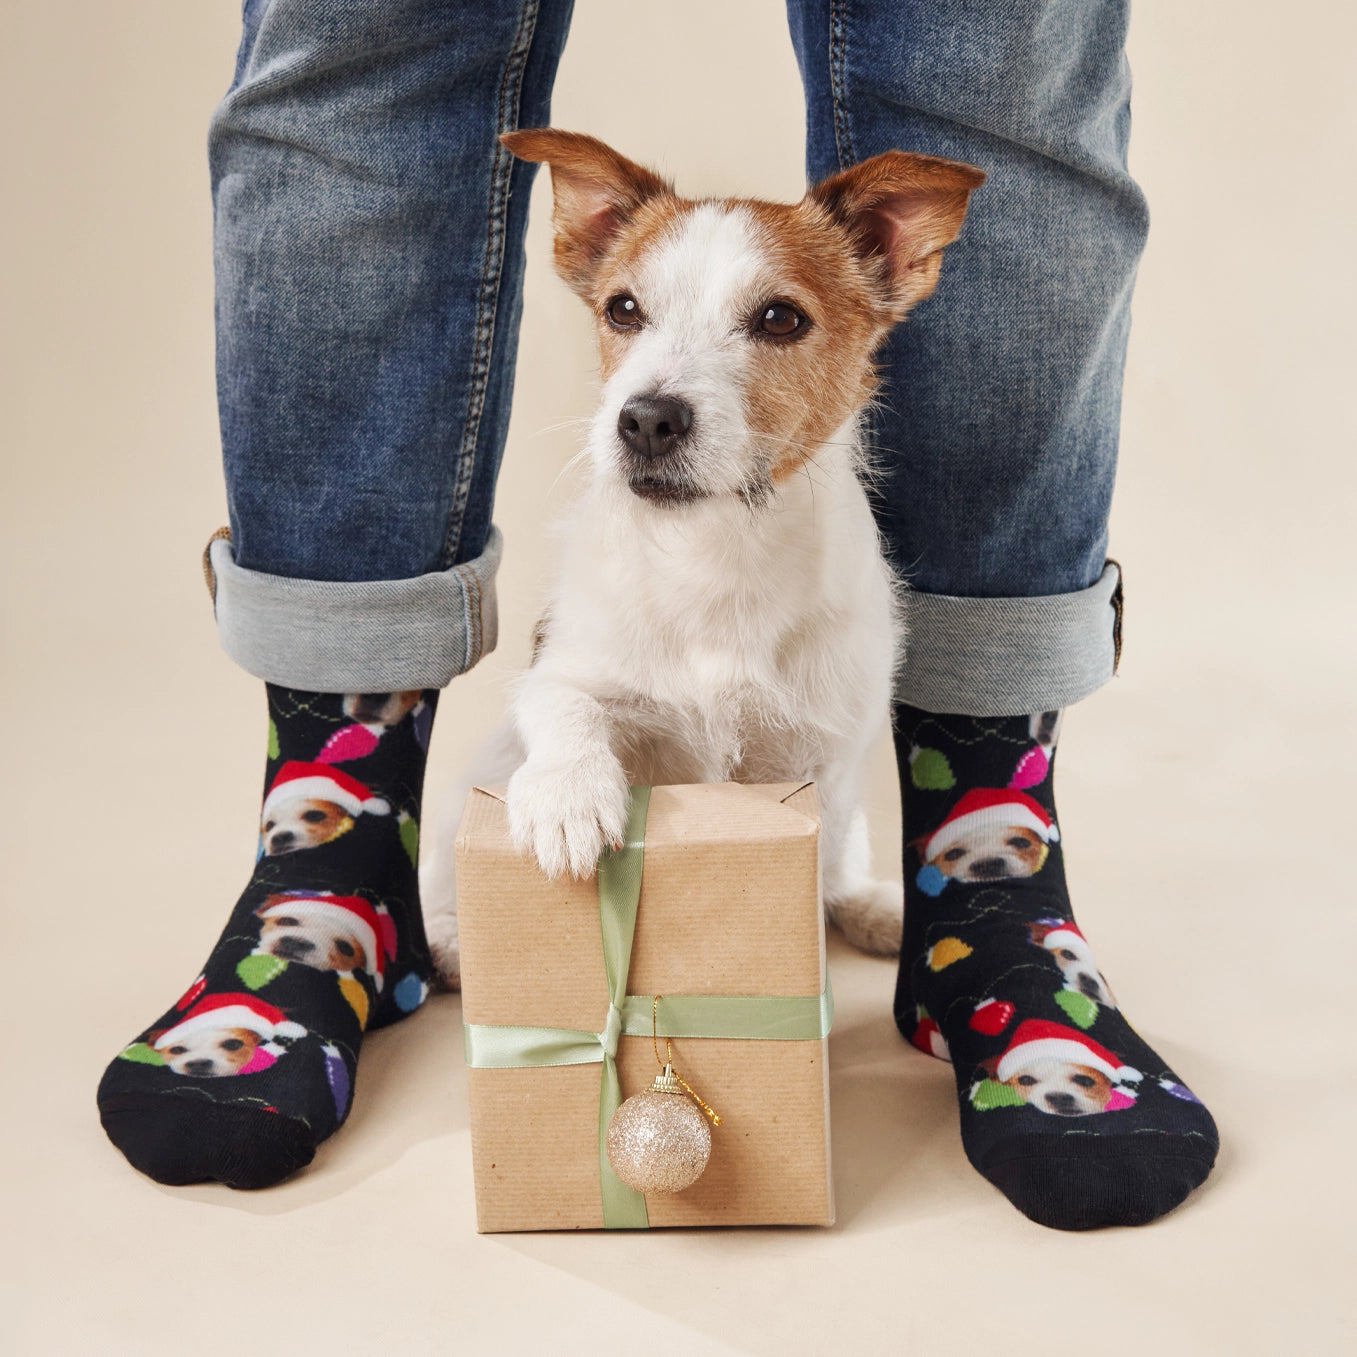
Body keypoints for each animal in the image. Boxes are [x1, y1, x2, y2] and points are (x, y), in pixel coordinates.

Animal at [417, 129, 982, 977]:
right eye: (623, 308)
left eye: (780, 318)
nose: (645, 419)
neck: (715, 550)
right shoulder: (563, 666)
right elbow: (562, 701)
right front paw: (567, 799)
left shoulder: (818, 760)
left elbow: (816, 855)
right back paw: (449, 938)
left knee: (841, 865)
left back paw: (873, 906)